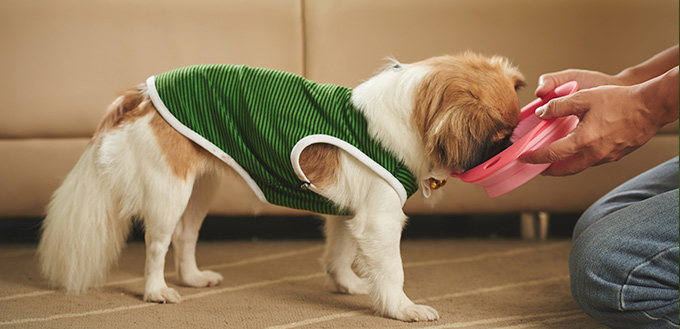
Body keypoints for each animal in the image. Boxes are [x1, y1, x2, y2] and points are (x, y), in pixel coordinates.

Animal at [37, 52, 524, 322]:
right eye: (499, 136)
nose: (514, 144)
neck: (402, 119)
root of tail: (141, 93)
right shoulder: (379, 219)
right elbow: (392, 270)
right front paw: (402, 308)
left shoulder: (349, 216)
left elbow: (339, 254)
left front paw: (347, 285)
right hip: (170, 191)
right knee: (157, 245)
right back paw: (157, 291)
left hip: (200, 190)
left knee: (184, 236)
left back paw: (192, 278)